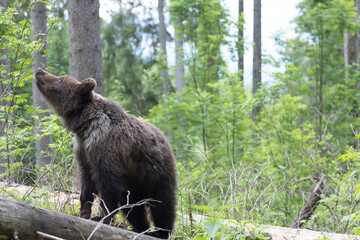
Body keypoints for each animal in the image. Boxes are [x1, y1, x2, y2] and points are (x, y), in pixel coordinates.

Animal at [34, 68, 178, 239]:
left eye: (60, 79)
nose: (39, 70)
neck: (86, 126)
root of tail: (165, 139)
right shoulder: (84, 152)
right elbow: (87, 184)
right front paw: (84, 213)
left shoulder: (106, 149)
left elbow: (107, 186)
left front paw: (102, 218)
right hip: (134, 183)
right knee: (132, 208)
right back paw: (140, 228)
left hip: (156, 172)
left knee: (162, 204)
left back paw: (160, 231)